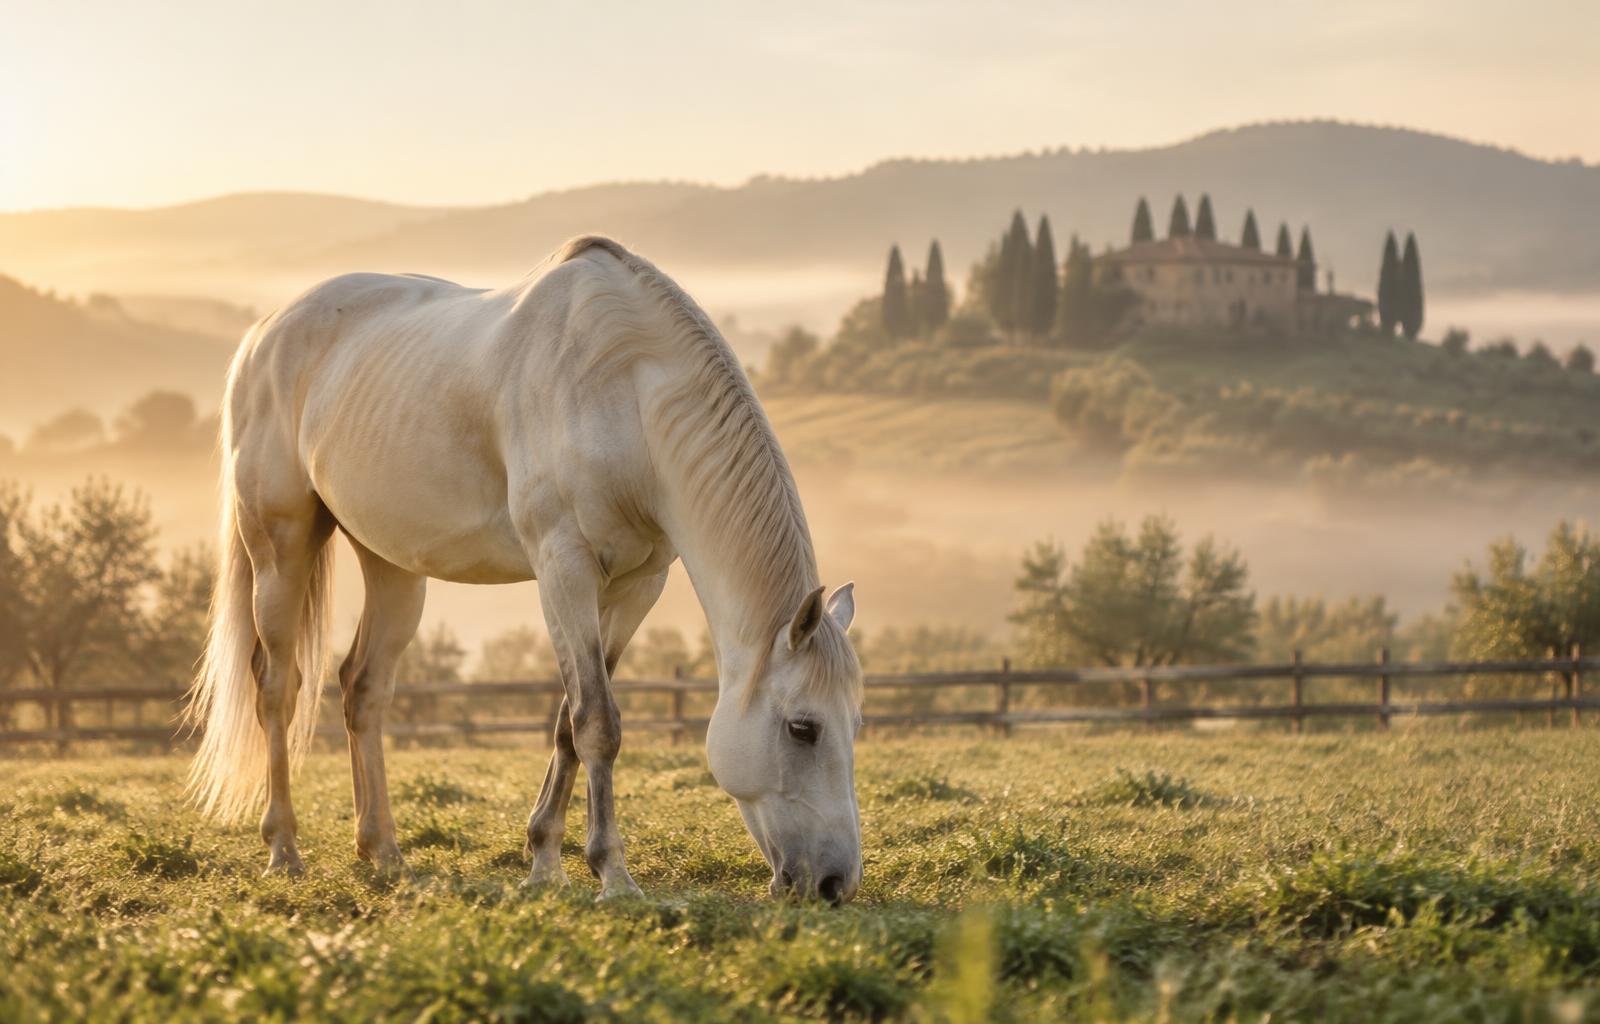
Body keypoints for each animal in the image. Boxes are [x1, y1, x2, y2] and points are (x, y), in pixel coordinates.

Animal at [184, 236, 864, 902]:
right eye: (803, 728)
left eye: (855, 722)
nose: (835, 883)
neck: (624, 393)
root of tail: (264, 332)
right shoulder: (563, 568)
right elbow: (597, 721)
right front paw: (612, 875)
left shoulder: (637, 586)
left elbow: (569, 719)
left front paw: (544, 862)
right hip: (280, 546)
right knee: (278, 686)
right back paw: (284, 849)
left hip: (392, 566)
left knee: (363, 688)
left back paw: (383, 852)